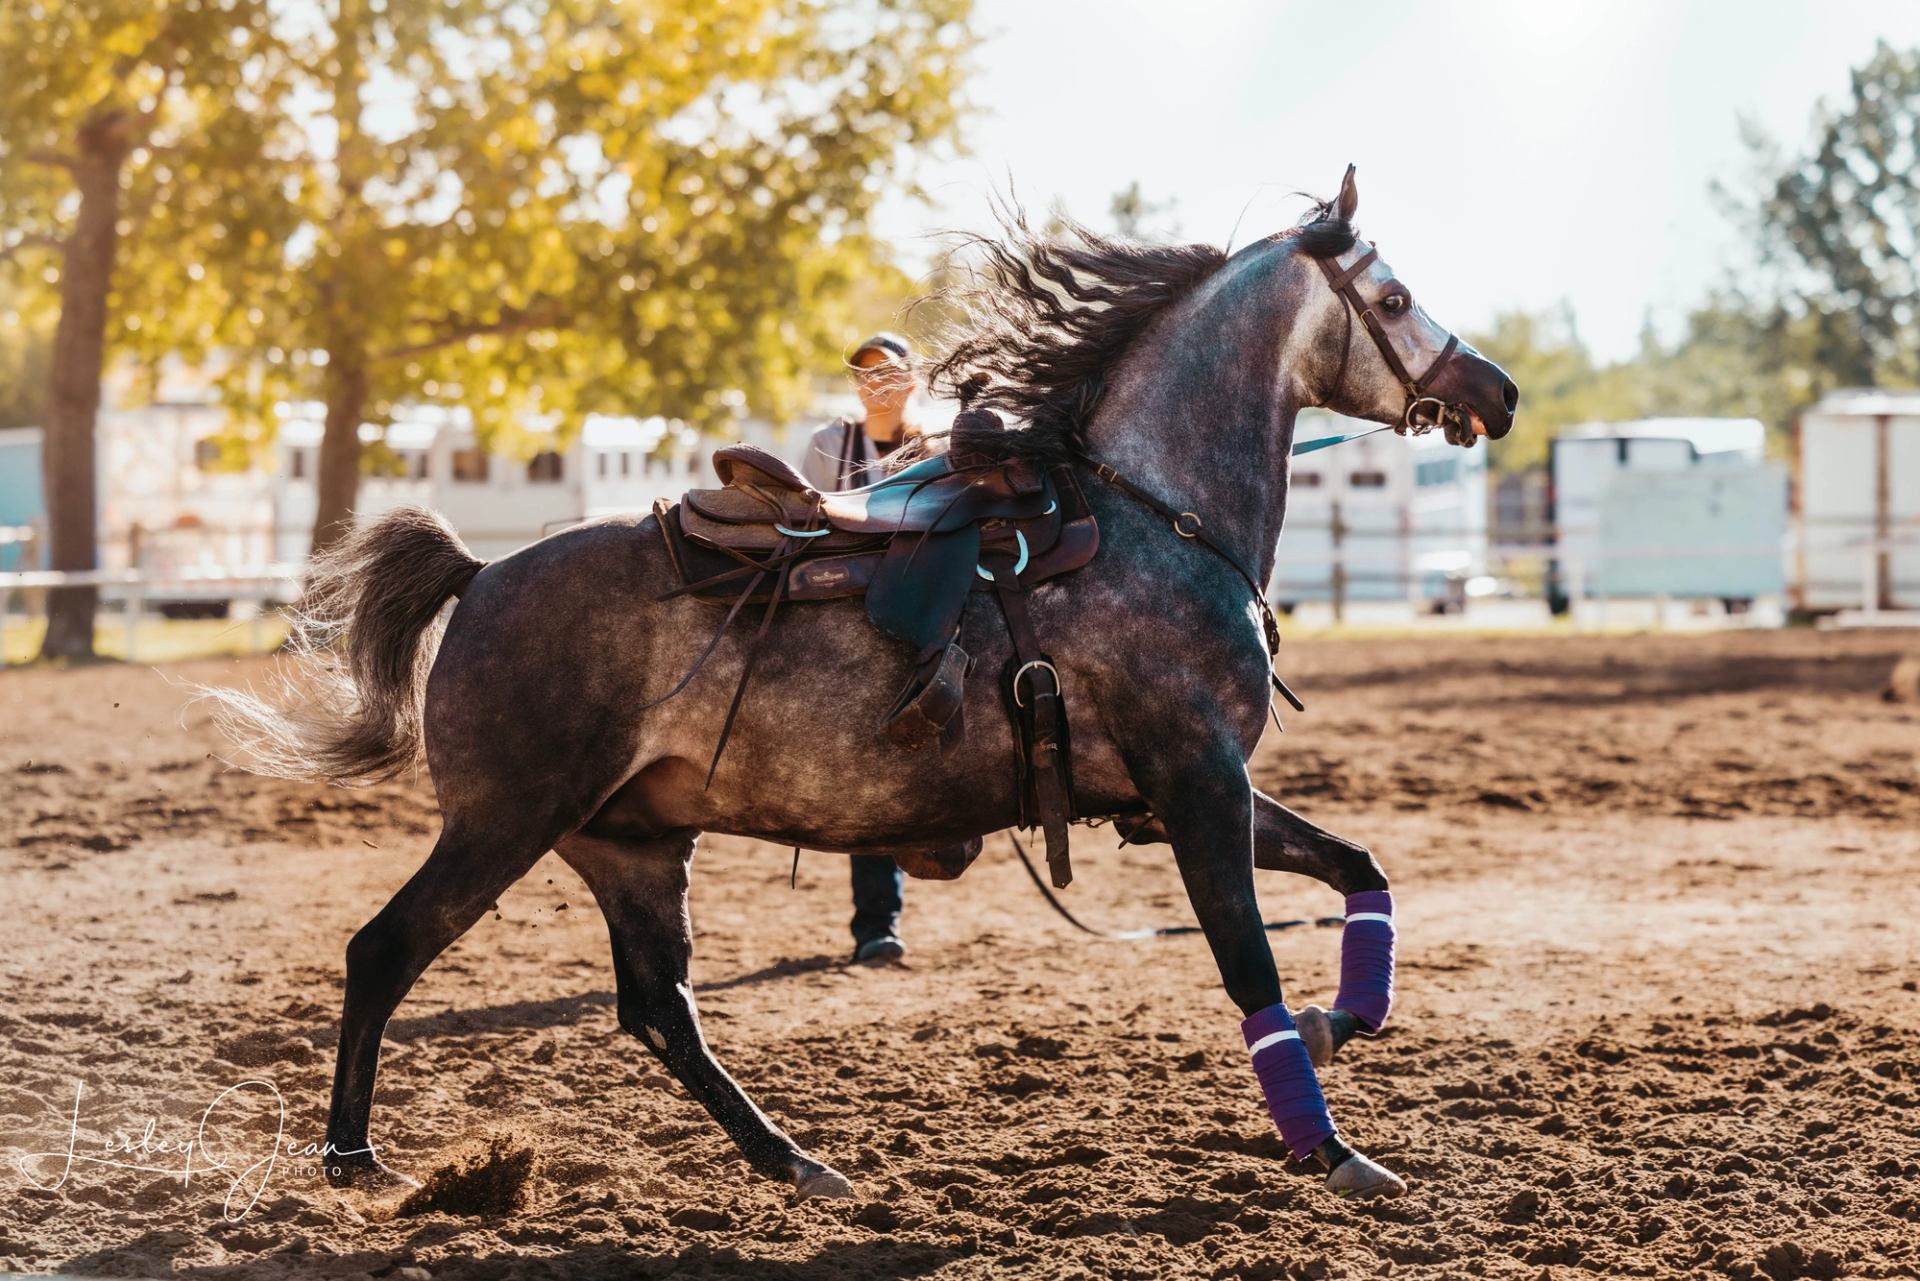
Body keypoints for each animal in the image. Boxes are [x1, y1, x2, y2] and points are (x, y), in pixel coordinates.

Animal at [207, 165, 1517, 1203]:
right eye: (1392, 299)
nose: (1495, 392)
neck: (1152, 515)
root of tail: (480, 578)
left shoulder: (1178, 798)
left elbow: (1359, 869)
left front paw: (1350, 1019)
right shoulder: (1196, 786)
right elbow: (1249, 963)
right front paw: (1333, 1150)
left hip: (629, 844)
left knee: (659, 1009)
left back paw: (796, 1162)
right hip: (506, 824)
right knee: (386, 952)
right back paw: (352, 1157)